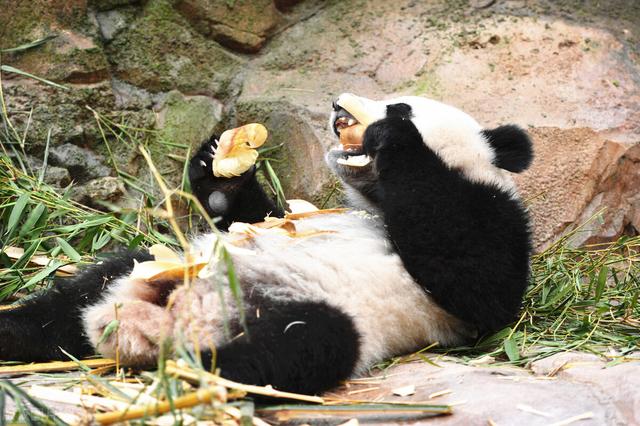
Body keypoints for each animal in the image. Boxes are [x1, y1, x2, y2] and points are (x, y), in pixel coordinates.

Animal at [0, 93, 532, 396]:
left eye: (400, 104)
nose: (338, 107)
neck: (378, 202)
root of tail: (161, 324)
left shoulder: (493, 221)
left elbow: (475, 278)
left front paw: (396, 136)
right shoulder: (291, 217)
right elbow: (251, 216)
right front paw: (221, 164)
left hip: (323, 316)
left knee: (294, 347)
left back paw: (192, 375)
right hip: (155, 266)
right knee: (70, 301)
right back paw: (16, 332)